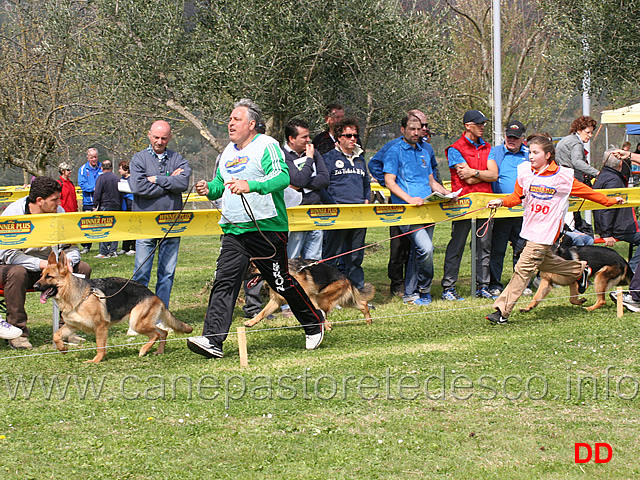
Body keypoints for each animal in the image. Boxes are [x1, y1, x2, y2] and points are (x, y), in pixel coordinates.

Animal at [35, 251, 192, 364]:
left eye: (49, 277)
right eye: (41, 275)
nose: (35, 286)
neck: (77, 296)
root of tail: (153, 294)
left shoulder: (100, 327)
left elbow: (100, 347)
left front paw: (96, 360)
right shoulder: (71, 326)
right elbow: (56, 336)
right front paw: (62, 349)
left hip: (137, 323)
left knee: (156, 334)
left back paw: (143, 350)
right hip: (141, 323)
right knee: (163, 332)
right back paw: (158, 351)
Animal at [244, 258, 376, 330]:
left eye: (253, 267)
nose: (243, 277)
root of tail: (346, 278)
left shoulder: (309, 298)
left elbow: (318, 312)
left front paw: (326, 326)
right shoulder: (276, 301)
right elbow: (262, 313)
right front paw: (251, 322)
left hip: (323, 299)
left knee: (324, 312)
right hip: (344, 300)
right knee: (363, 304)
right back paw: (368, 321)